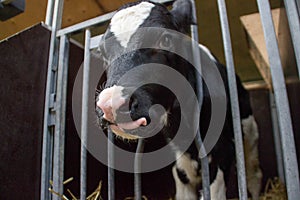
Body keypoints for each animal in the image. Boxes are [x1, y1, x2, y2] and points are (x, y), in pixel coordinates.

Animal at [95, 0, 262, 199]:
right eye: (102, 51)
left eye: (166, 39)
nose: (110, 104)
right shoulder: (179, 163)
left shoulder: (222, 151)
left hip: (249, 130)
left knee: (253, 173)